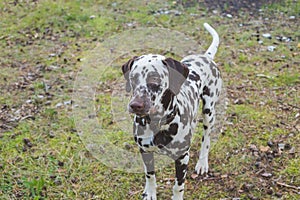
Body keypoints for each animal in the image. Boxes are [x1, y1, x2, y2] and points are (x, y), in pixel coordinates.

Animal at [120, 22, 221, 199]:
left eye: (154, 79)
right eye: (132, 78)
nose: (135, 105)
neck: (156, 124)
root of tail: (206, 56)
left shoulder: (182, 159)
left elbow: (178, 186)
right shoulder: (144, 151)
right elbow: (150, 175)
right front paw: (150, 192)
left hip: (209, 112)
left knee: (206, 138)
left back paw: (202, 162)